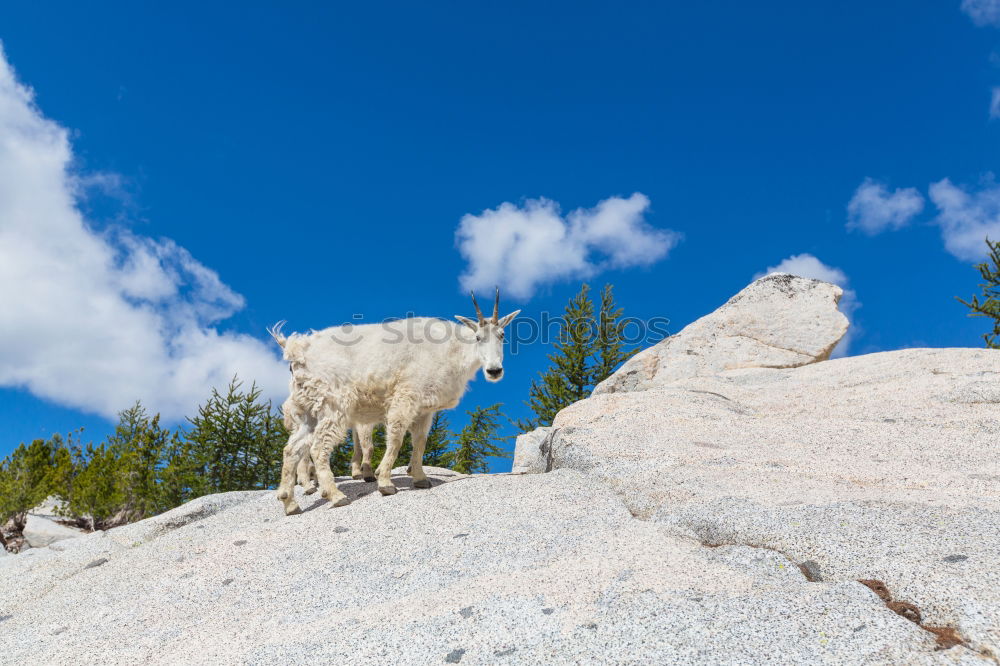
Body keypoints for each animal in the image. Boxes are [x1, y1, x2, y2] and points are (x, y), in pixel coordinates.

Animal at [270, 290, 520, 512]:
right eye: (478, 338)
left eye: (502, 335)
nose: (494, 370)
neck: (452, 351)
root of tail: (297, 352)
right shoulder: (406, 396)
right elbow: (396, 439)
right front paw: (385, 483)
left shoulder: (424, 409)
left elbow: (420, 442)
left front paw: (420, 478)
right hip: (334, 405)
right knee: (318, 447)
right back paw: (335, 495)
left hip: (309, 411)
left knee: (291, 449)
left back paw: (290, 503)